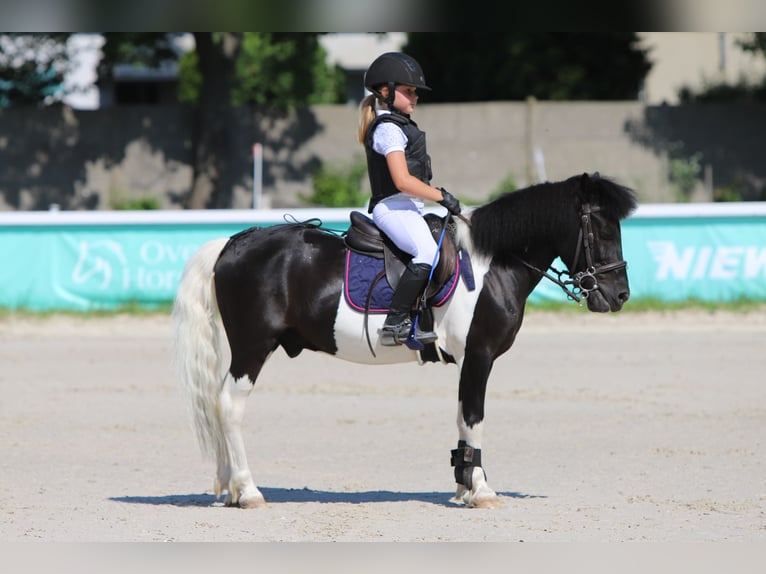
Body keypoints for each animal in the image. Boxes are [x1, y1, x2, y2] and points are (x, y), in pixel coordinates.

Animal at [176, 171, 640, 508]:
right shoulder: (480, 355)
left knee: (219, 404)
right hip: (253, 347)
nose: (619, 295)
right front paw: (482, 491)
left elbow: (461, 418)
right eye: (601, 228)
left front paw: (463, 485)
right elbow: (475, 418)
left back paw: (228, 488)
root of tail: (235, 242)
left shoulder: (468, 360)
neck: (491, 264)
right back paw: (248, 491)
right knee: (229, 406)